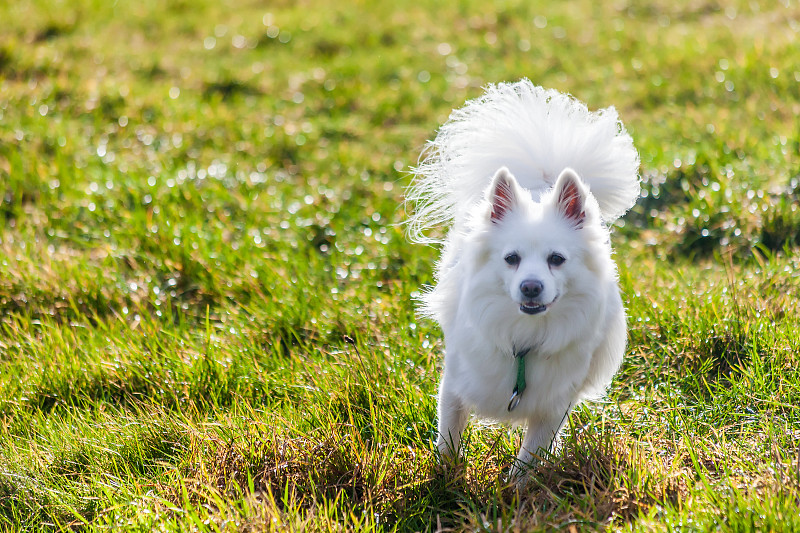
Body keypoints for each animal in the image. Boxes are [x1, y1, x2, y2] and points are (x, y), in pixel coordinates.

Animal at [406, 81, 636, 476]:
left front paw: (516, 487)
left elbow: (530, 457)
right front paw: (446, 479)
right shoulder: (454, 386)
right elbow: (449, 438)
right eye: (511, 259)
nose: (531, 286)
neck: (524, 340)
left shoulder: (552, 407)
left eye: (556, 260)